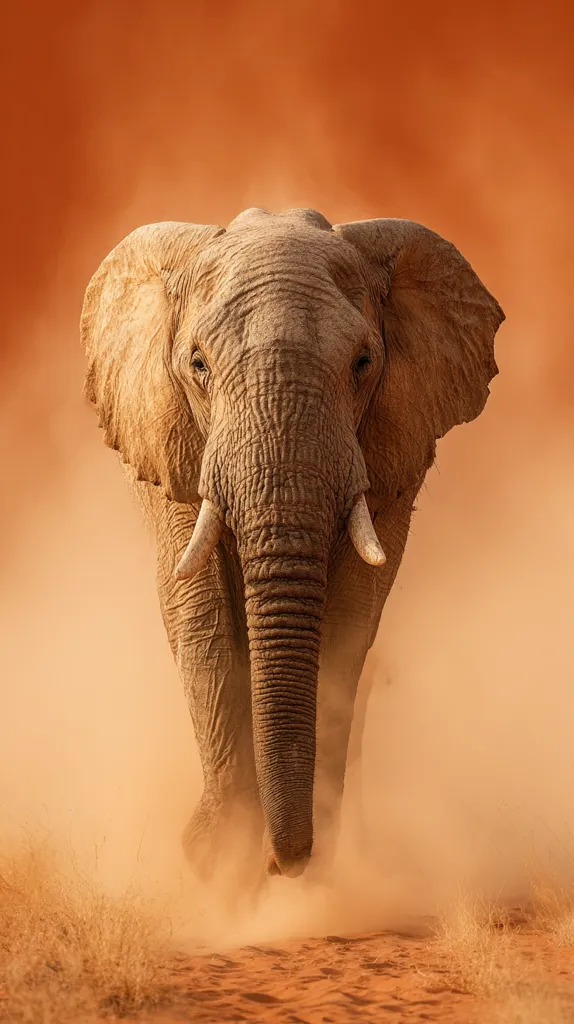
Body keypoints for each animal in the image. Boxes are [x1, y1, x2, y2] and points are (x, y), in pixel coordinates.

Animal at [81, 207, 504, 884]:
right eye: (197, 364)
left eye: (363, 362)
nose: (282, 866)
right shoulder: (170, 441)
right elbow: (198, 610)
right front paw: (222, 859)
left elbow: (352, 611)